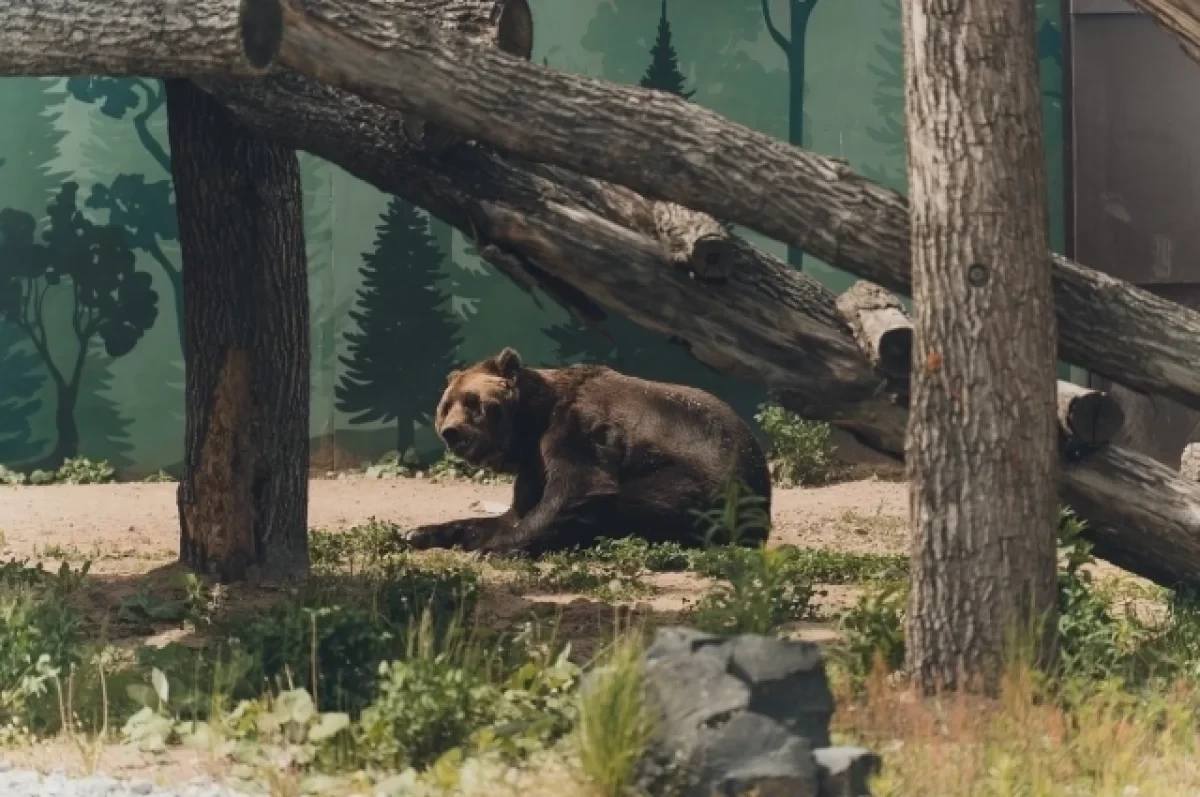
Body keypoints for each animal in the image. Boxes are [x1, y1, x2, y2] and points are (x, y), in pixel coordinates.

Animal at [404, 347, 772, 556]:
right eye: (445, 407)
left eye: (473, 402)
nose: (453, 433)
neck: (531, 424)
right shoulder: (533, 464)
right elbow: (512, 514)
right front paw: (419, 532)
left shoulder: (578, 428)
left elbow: (578, 487)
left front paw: (493, 549)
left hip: (704, 483)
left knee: (633, 502)